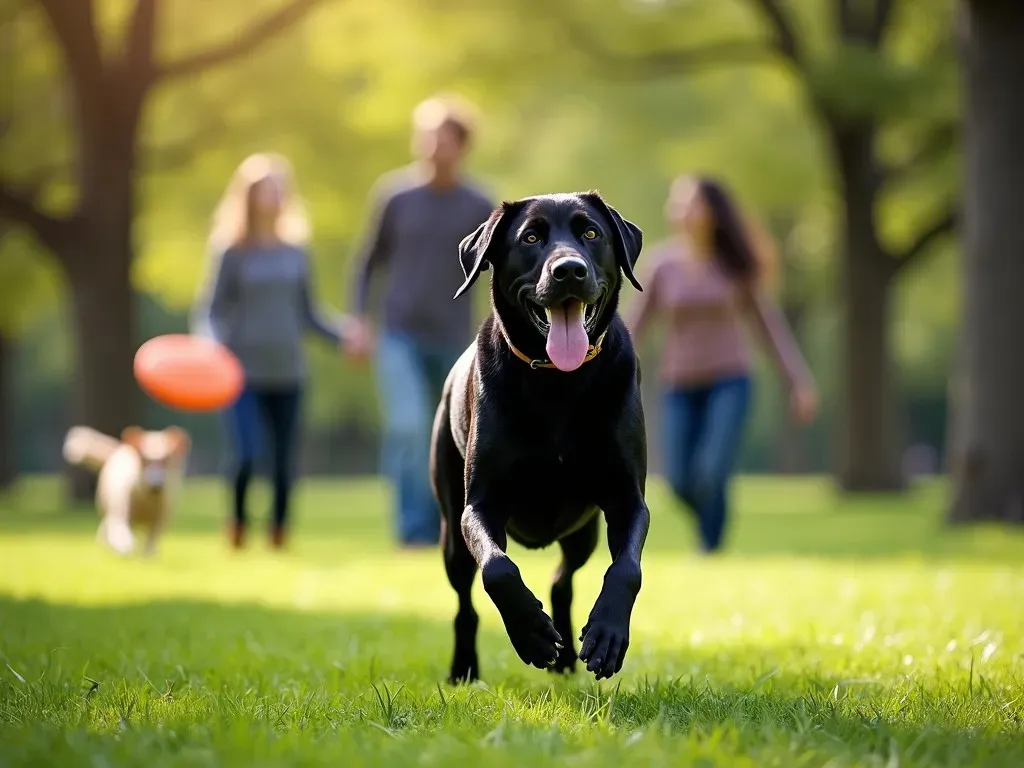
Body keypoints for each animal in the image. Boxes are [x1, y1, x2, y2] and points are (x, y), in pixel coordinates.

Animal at [63, 423, 190, 557]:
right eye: (143, 459)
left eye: (167, 460)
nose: (156, 485)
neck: (146, 500)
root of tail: (119, 449)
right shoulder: (121, 510)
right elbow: (122, 534)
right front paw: (125, 550)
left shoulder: (160, 517)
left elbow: (151, 539)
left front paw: (149, 555)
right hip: (107, 506)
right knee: (107, 527)